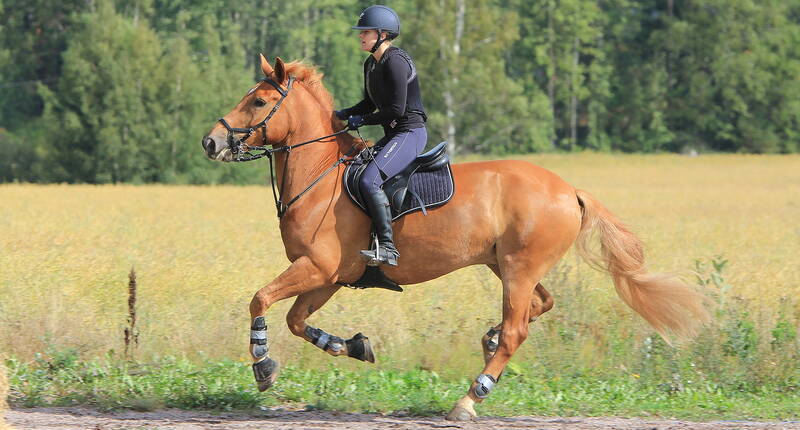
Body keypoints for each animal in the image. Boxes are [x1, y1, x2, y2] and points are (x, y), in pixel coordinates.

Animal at [202, 55, 712, 422]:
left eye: (259, 102)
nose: (211, 143)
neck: (321, 174)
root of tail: (570, 190)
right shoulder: (331, 276)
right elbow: (294, 320)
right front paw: (352, 346)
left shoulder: (317, 267)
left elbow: (260, 299)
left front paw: (262, 365)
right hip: (507, 265)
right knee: (538, 306)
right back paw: (487, 339)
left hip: (519, 268)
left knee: (517, 328)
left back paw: (471, 398)